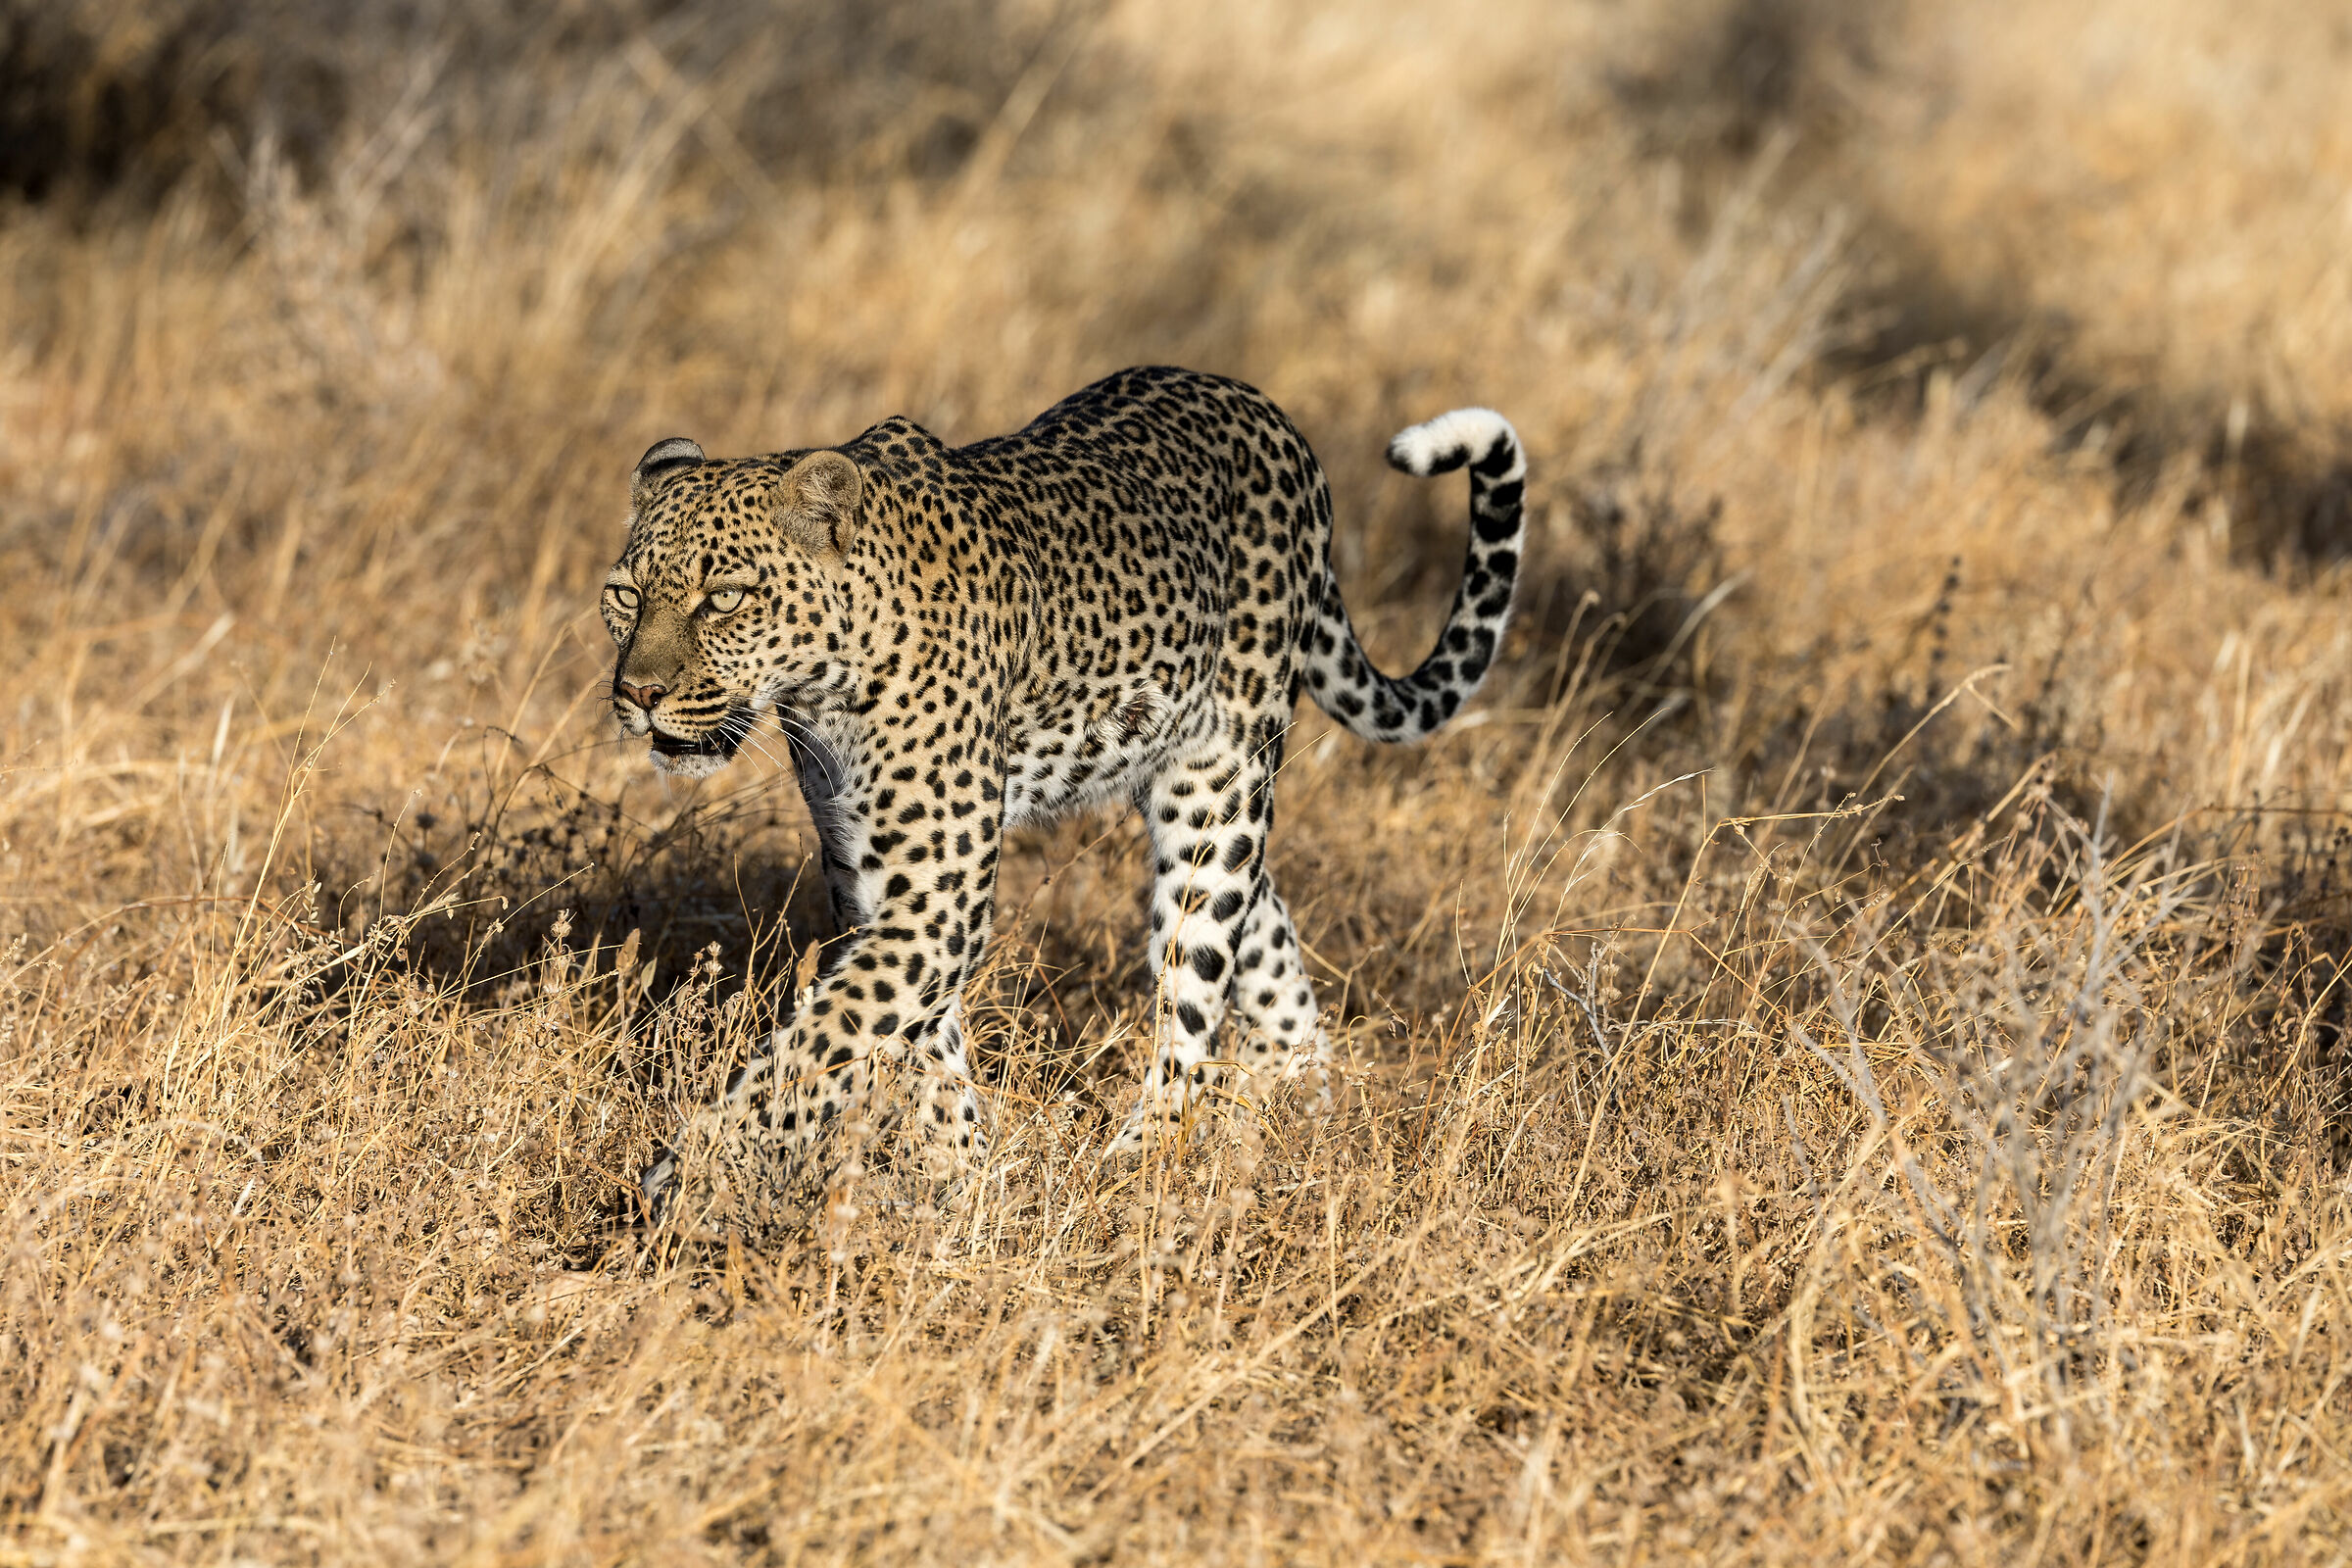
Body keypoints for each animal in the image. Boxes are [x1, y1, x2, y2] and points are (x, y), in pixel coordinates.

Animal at [603, 365, 1525, 1221]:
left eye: (725, 598)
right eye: (624, 596)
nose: (638, 693)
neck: (825, 689)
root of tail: (1266, 409)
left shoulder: (934, 905)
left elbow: (820, 1042)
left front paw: (687, 1178)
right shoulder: (871, 885)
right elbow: (915, 1046)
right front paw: (964, 1178)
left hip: (1217, 781)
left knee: (1193, 994)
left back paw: (1143, 1164)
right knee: (1264, 930)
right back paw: (1305, 1102)